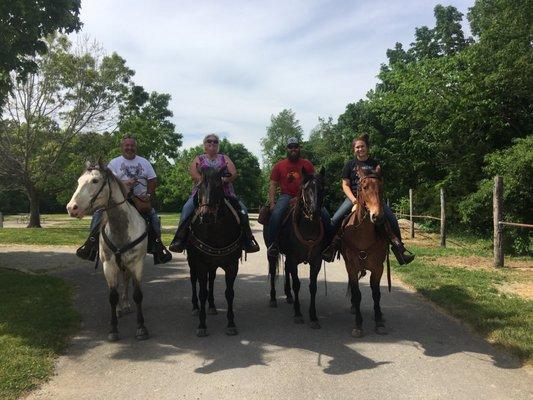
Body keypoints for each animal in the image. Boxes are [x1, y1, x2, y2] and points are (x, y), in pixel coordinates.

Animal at [67, 159, 150, 340]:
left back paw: (126, 305)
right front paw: (113, 329)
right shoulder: (109, 266)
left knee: (126, 281)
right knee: (120, 284)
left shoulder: (137, 264)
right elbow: (112, 296)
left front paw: (141, 328)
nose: (71, 208)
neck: (120, 229)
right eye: (78, 181)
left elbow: (138, 295)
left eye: (95, 181)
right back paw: (120, 309)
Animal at [185, 167, 239, 336]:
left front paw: (231, 323)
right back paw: (195, 307)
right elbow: (202, 292)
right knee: (193, 280)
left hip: (213, 265)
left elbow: (229, 293)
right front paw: (202, 325)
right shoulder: (201, 264)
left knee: (212, 279)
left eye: (218, 186)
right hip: (192, 261)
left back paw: (212, 306)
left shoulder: (232, 265)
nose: (206, 216)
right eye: (199, 186)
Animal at [264, 168, 326, 328]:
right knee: (273, 271)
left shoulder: (316, 261)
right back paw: (273, 299)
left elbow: (312, 286)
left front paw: (313, 317)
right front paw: (298, 314)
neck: (308, 228)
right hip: (272, 253)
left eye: (322, 188)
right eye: (306, 188)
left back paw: (289, 296)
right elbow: (297, 284)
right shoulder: (293, 258)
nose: (314, 212)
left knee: (286, 269)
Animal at [340, 166, 386, 338]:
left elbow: (376, 294)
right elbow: (357, 293)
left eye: (381, 187)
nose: (377, 216)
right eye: (364, 187)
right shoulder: (352, 267)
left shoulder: (378, 268)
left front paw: (379, 321)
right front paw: (358, 325)